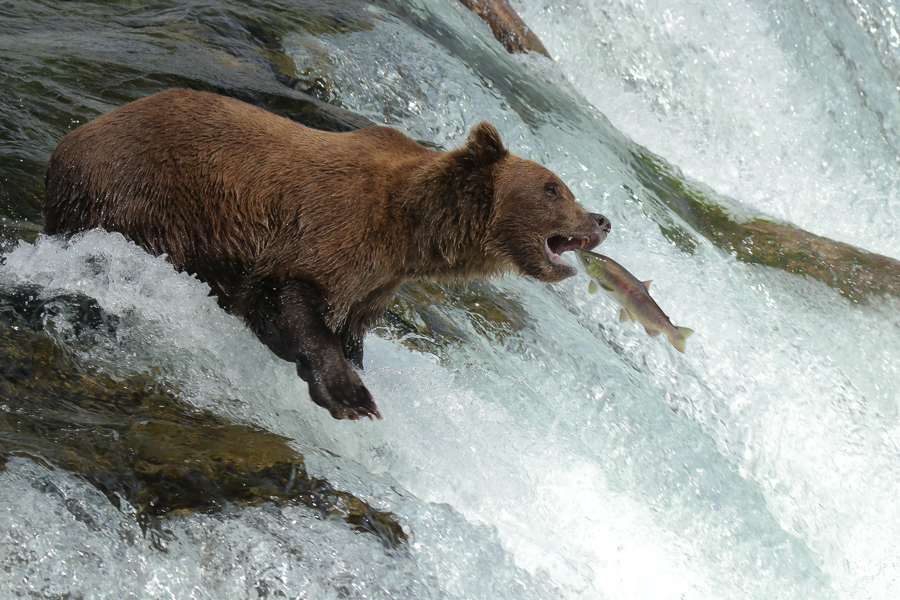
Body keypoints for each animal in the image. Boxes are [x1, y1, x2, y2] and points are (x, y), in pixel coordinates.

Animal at [45, 88, 616, 418]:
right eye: (553, 188)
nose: (602, 219)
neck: (409, 230)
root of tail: (72, 138)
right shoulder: (333, 231)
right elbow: (288, 295)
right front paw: (352, 396)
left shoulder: (377, 282)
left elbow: (348, 328)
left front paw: (355, 371)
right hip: (134, 198)